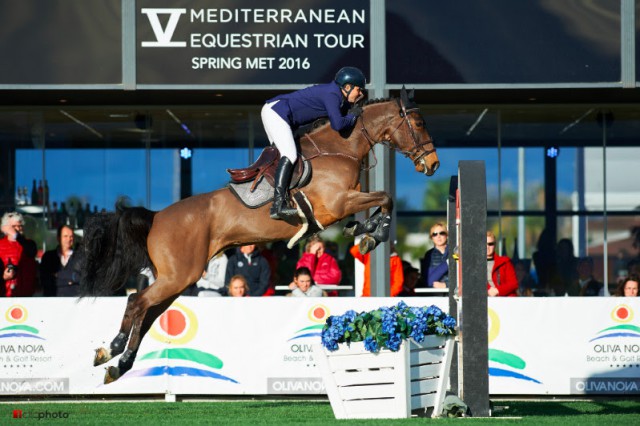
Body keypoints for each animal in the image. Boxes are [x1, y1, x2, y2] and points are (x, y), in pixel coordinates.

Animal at [80, 86, 440, 382]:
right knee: (137, 301)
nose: (433, 165)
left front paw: (365, 232)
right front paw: (373, 233)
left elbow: (377, 204)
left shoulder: (340, 206)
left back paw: (118, 363)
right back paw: (113, 349)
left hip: (176, 279)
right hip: (179, 275)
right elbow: (385, 197)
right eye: (419, 123)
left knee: (147, 313)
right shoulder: (339, 202)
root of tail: (156, 217)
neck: (340, 148)